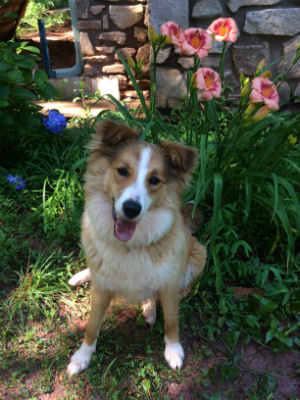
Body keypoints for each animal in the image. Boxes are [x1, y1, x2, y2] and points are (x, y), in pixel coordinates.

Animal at [66, 119, 206, 376]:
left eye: (154, 180)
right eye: (122, 170)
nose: (131, 208)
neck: (130, 245)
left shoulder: (169, 283)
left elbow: (172, 320)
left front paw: (173, 350)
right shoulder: (101, 287)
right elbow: (92, 324)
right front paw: (82, 357)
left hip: (198, 255)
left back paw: (150, 311)